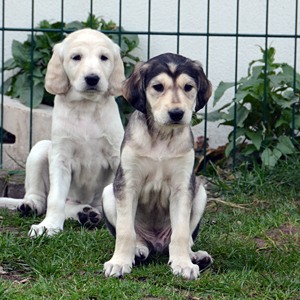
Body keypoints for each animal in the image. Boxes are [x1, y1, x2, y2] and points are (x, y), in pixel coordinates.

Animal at [0, 28, 125, 237]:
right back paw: (31, 206)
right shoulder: (61, 158)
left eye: (104, 57)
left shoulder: (117, 155)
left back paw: (86, 214)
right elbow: (55, 198)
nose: (92, 78)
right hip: (40, 149)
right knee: (41, 197)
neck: (86, 108)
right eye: (76, 57)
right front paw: (48, 226)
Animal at [102, 53, 212, 278]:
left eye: (188, 87)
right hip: (108, 192)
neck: (161, 138)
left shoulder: (183, 187)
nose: (177, 113)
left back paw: (195, 256)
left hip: (200, 194)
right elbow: (125, 231)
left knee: (183, 238)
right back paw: (138, 251)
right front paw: (119, 262)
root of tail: (157, 244)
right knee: (137, 237)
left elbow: (181, 233)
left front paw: (183, 264)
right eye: (158, 87)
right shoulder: (127, 184)